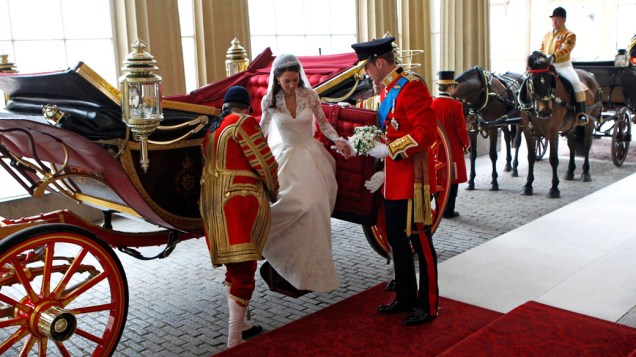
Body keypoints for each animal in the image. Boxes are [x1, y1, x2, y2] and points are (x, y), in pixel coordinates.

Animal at [516, 51, 600, 197]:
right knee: (572, 145)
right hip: (571, 126)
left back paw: (585, 172)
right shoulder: (528, 131)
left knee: (586, 144)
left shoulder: (553, 131)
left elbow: (553, 159)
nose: (545, 111)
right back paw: (570, 171)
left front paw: (554, 188)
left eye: (551, 81)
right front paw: (528, 185)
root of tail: (590, 75)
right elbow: (531, 157)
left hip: (589, 123)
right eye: (532, 82)